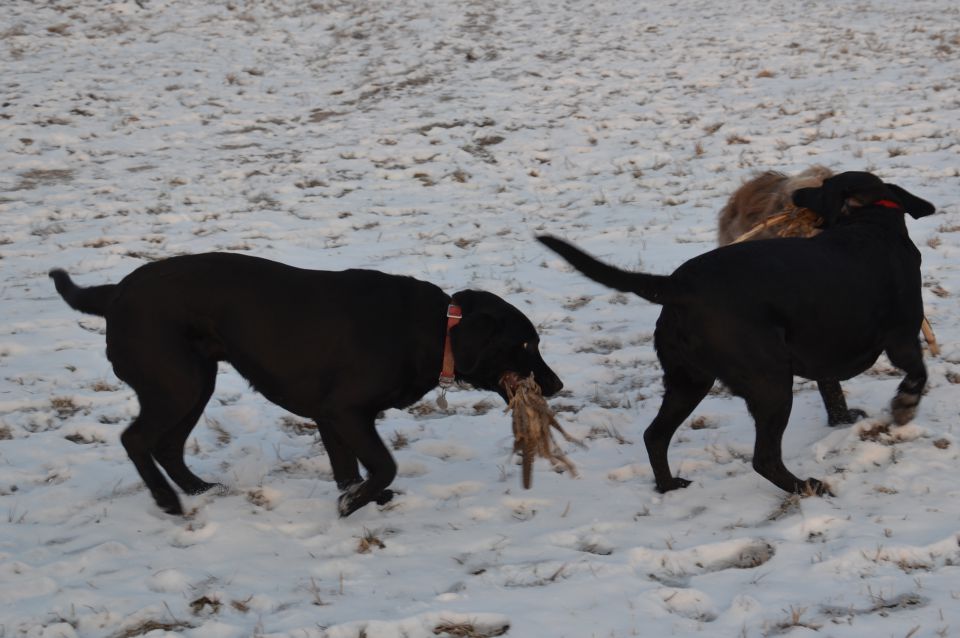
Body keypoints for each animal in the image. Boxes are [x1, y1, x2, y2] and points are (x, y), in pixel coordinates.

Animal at [50, 252, 564, 516]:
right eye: (525, 343)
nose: (556, 384)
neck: (436, 330)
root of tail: (114, 293)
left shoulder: (330, 417)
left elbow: (349, 467)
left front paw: (358, 497)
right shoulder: (345, 411)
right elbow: (384, 464)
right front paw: (354, 504)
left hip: (196, 383)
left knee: (168, 445)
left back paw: (199, 490)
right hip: (176, 383)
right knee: (136, 440)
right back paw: (169, 501)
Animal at [540, 174, 936, 500]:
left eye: (822, 187)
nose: (796, 194)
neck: (873, 222)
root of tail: (676, 285)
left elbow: (832, 389)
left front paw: (844, 418)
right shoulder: (901, 339)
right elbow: (918, 372)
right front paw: (905, 406)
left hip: (689, 381)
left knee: (655, 435)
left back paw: (669, 486)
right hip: (771, 384)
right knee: (764, 458)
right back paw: (806, 486)